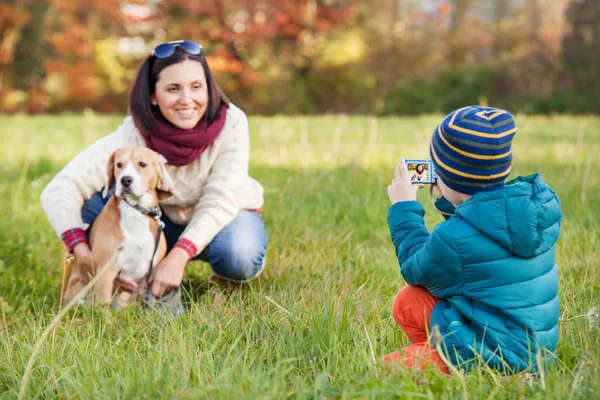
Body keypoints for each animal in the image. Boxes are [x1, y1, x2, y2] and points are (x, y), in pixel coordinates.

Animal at [64, 147, 175, 306]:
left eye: (142, 164)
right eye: (119, 165)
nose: (125, 180)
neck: (136, 211)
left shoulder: (148, 278)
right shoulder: (106, 272)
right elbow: (102, 307)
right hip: (79, 289)